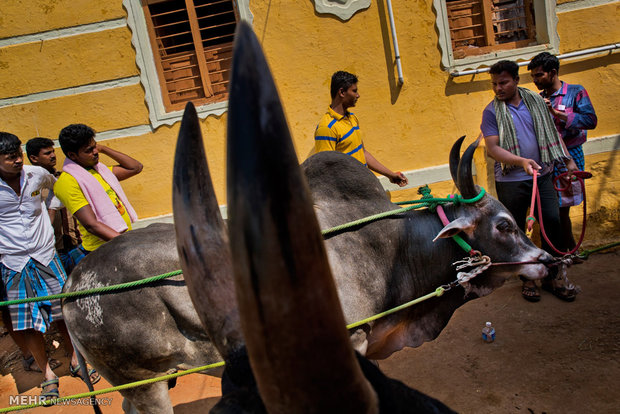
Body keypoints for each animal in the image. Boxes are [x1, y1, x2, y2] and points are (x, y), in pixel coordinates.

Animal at [60, 22, 548, 414]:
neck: (396, 249)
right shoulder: (351, 341)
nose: (545, 260)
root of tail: (73, 284)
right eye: (504, 225)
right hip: (146, 382)